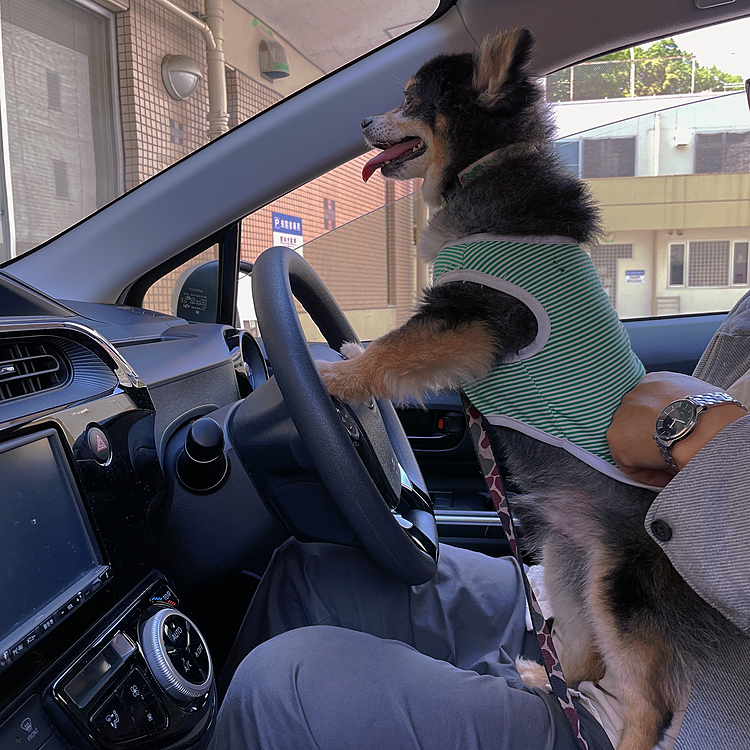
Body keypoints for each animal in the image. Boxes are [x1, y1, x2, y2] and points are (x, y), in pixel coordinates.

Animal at [318, 27, 740, 750]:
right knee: (583, 654)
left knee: (648, 698)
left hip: (619, 590)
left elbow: (398, 345)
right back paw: (545, 677)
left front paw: (334, 376)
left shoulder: (473, 318)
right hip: (569, 561)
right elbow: (393, 346)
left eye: (410, 98)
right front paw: (345, 353)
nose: (363, 121)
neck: (484, 168)